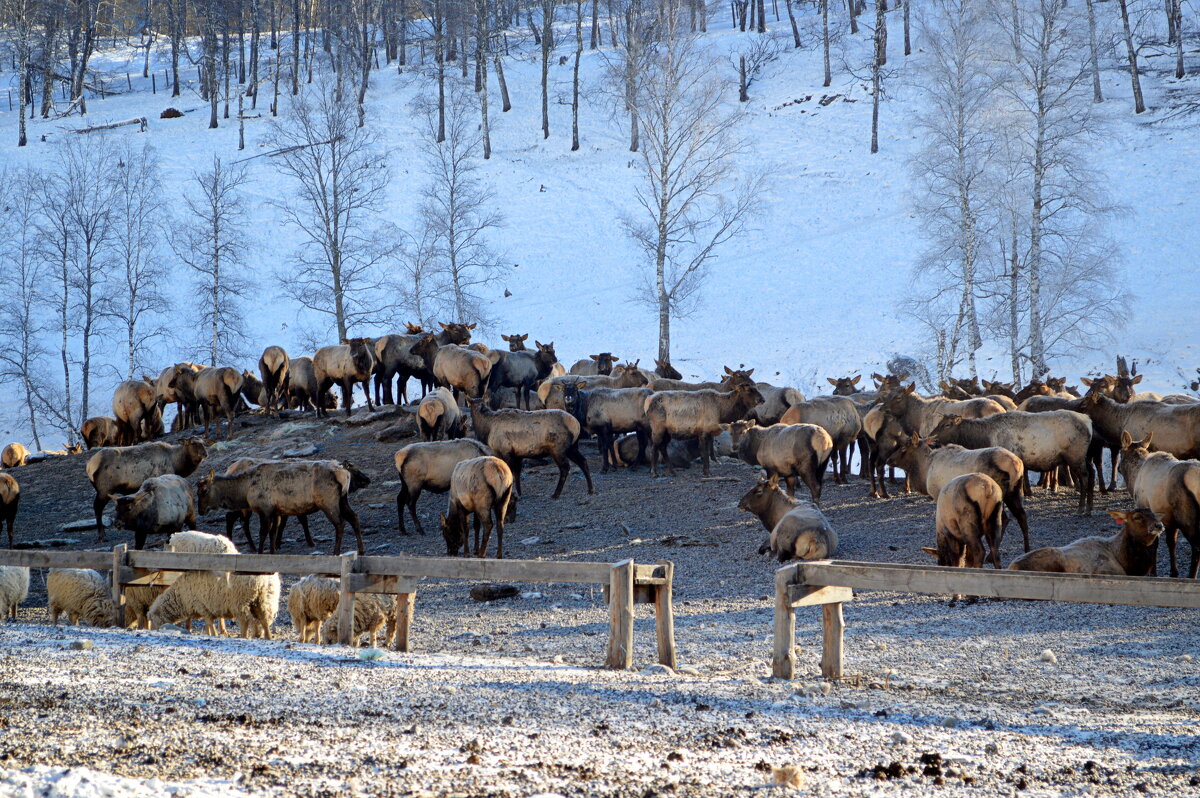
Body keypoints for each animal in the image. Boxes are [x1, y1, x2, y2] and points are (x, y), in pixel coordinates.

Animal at [195, 458, 360, 552]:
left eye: (204, 490)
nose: (201, 510)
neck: (245, 490)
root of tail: (345, 474)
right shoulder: (276, 511)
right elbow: (273, 534)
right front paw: (273, 551)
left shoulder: (265, 509)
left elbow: (263, 533)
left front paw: (261, 551)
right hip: (343, 499)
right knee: (354, 518)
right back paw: (361, 551)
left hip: (327, 501)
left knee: (340, 523)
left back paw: (336, 552)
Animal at [892, 432, 1032, 552]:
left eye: (903, 448)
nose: (889, 459)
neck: (925, 470)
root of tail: (1016, 464)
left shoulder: (938, 495)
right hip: (1014, 490)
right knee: (1021, 515)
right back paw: (1026, 548)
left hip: (999, 493)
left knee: (1004, 518)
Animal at [926, 408, 1099, 513]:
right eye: (938, 423)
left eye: (947, 425)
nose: (930, 439)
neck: (982, 439)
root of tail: (1089, 421)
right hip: (1083, 456)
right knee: (1092, 472)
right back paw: (1090, 507)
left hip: (1075, 455)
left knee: (1085, 476)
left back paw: (1082, 508)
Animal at [1113, 432, 1200, 576]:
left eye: (1120, 451)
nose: (1118, 468)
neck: (1134, 476)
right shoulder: (1169, 519)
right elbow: (1171, 542)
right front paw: (1174, 572)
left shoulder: (1146, 508)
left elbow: (1153, 544)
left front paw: (1153, 572)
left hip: (1187, 515)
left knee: (1197, 547)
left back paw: (1191, 576)